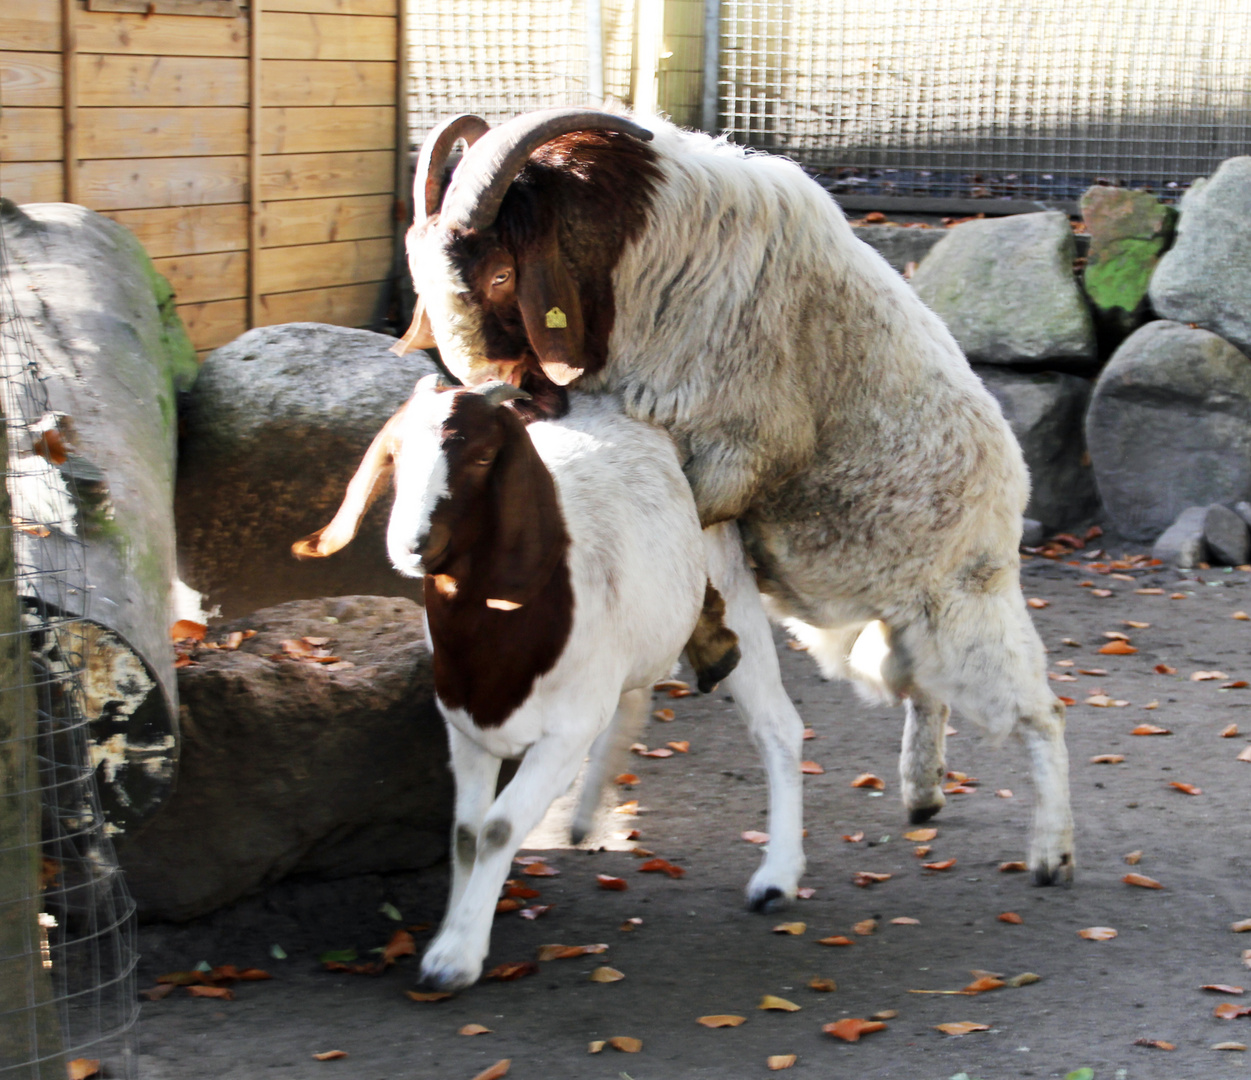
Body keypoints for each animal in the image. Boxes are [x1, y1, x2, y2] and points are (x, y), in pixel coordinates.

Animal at [392, 110, 1075, 906]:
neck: (637, 252)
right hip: (875, 632)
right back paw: (922, 790)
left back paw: (1051, 852)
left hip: (962, 609)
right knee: (925, 692)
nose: (512, 398)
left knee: (1038, 711)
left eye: (502, 274)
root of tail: (1011, 486)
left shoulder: (734, 455)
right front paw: (586, 809)